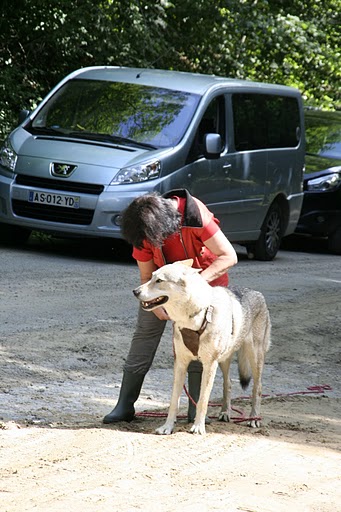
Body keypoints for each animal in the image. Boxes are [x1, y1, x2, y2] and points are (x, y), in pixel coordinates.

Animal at [131, 258, 270, 434]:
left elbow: (203, 400)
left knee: (257, 388)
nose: (135, 291)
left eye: (159, 280)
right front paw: (167, 427)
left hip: (253, 358)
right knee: (228, 384)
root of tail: (257, 293)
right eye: (151, 277)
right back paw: (225, 413)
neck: (195, 318)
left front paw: (198, 427)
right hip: (224, 360)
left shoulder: (209, 365)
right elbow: (174, 401)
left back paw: (254, 418)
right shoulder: (180, 363)